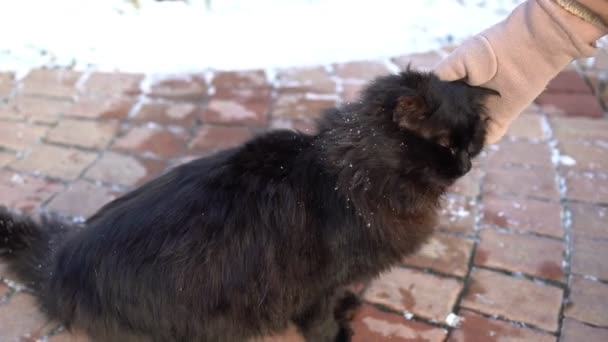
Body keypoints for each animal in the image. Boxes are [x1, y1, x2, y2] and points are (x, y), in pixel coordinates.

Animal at [0, 70, 494, 342]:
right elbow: (320, 321)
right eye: (445, 145)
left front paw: (350, 304)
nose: (468, 164)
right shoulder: (316, 284)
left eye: (472, 141)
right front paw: (337, 334)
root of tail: (58, 257)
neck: (354, 177)